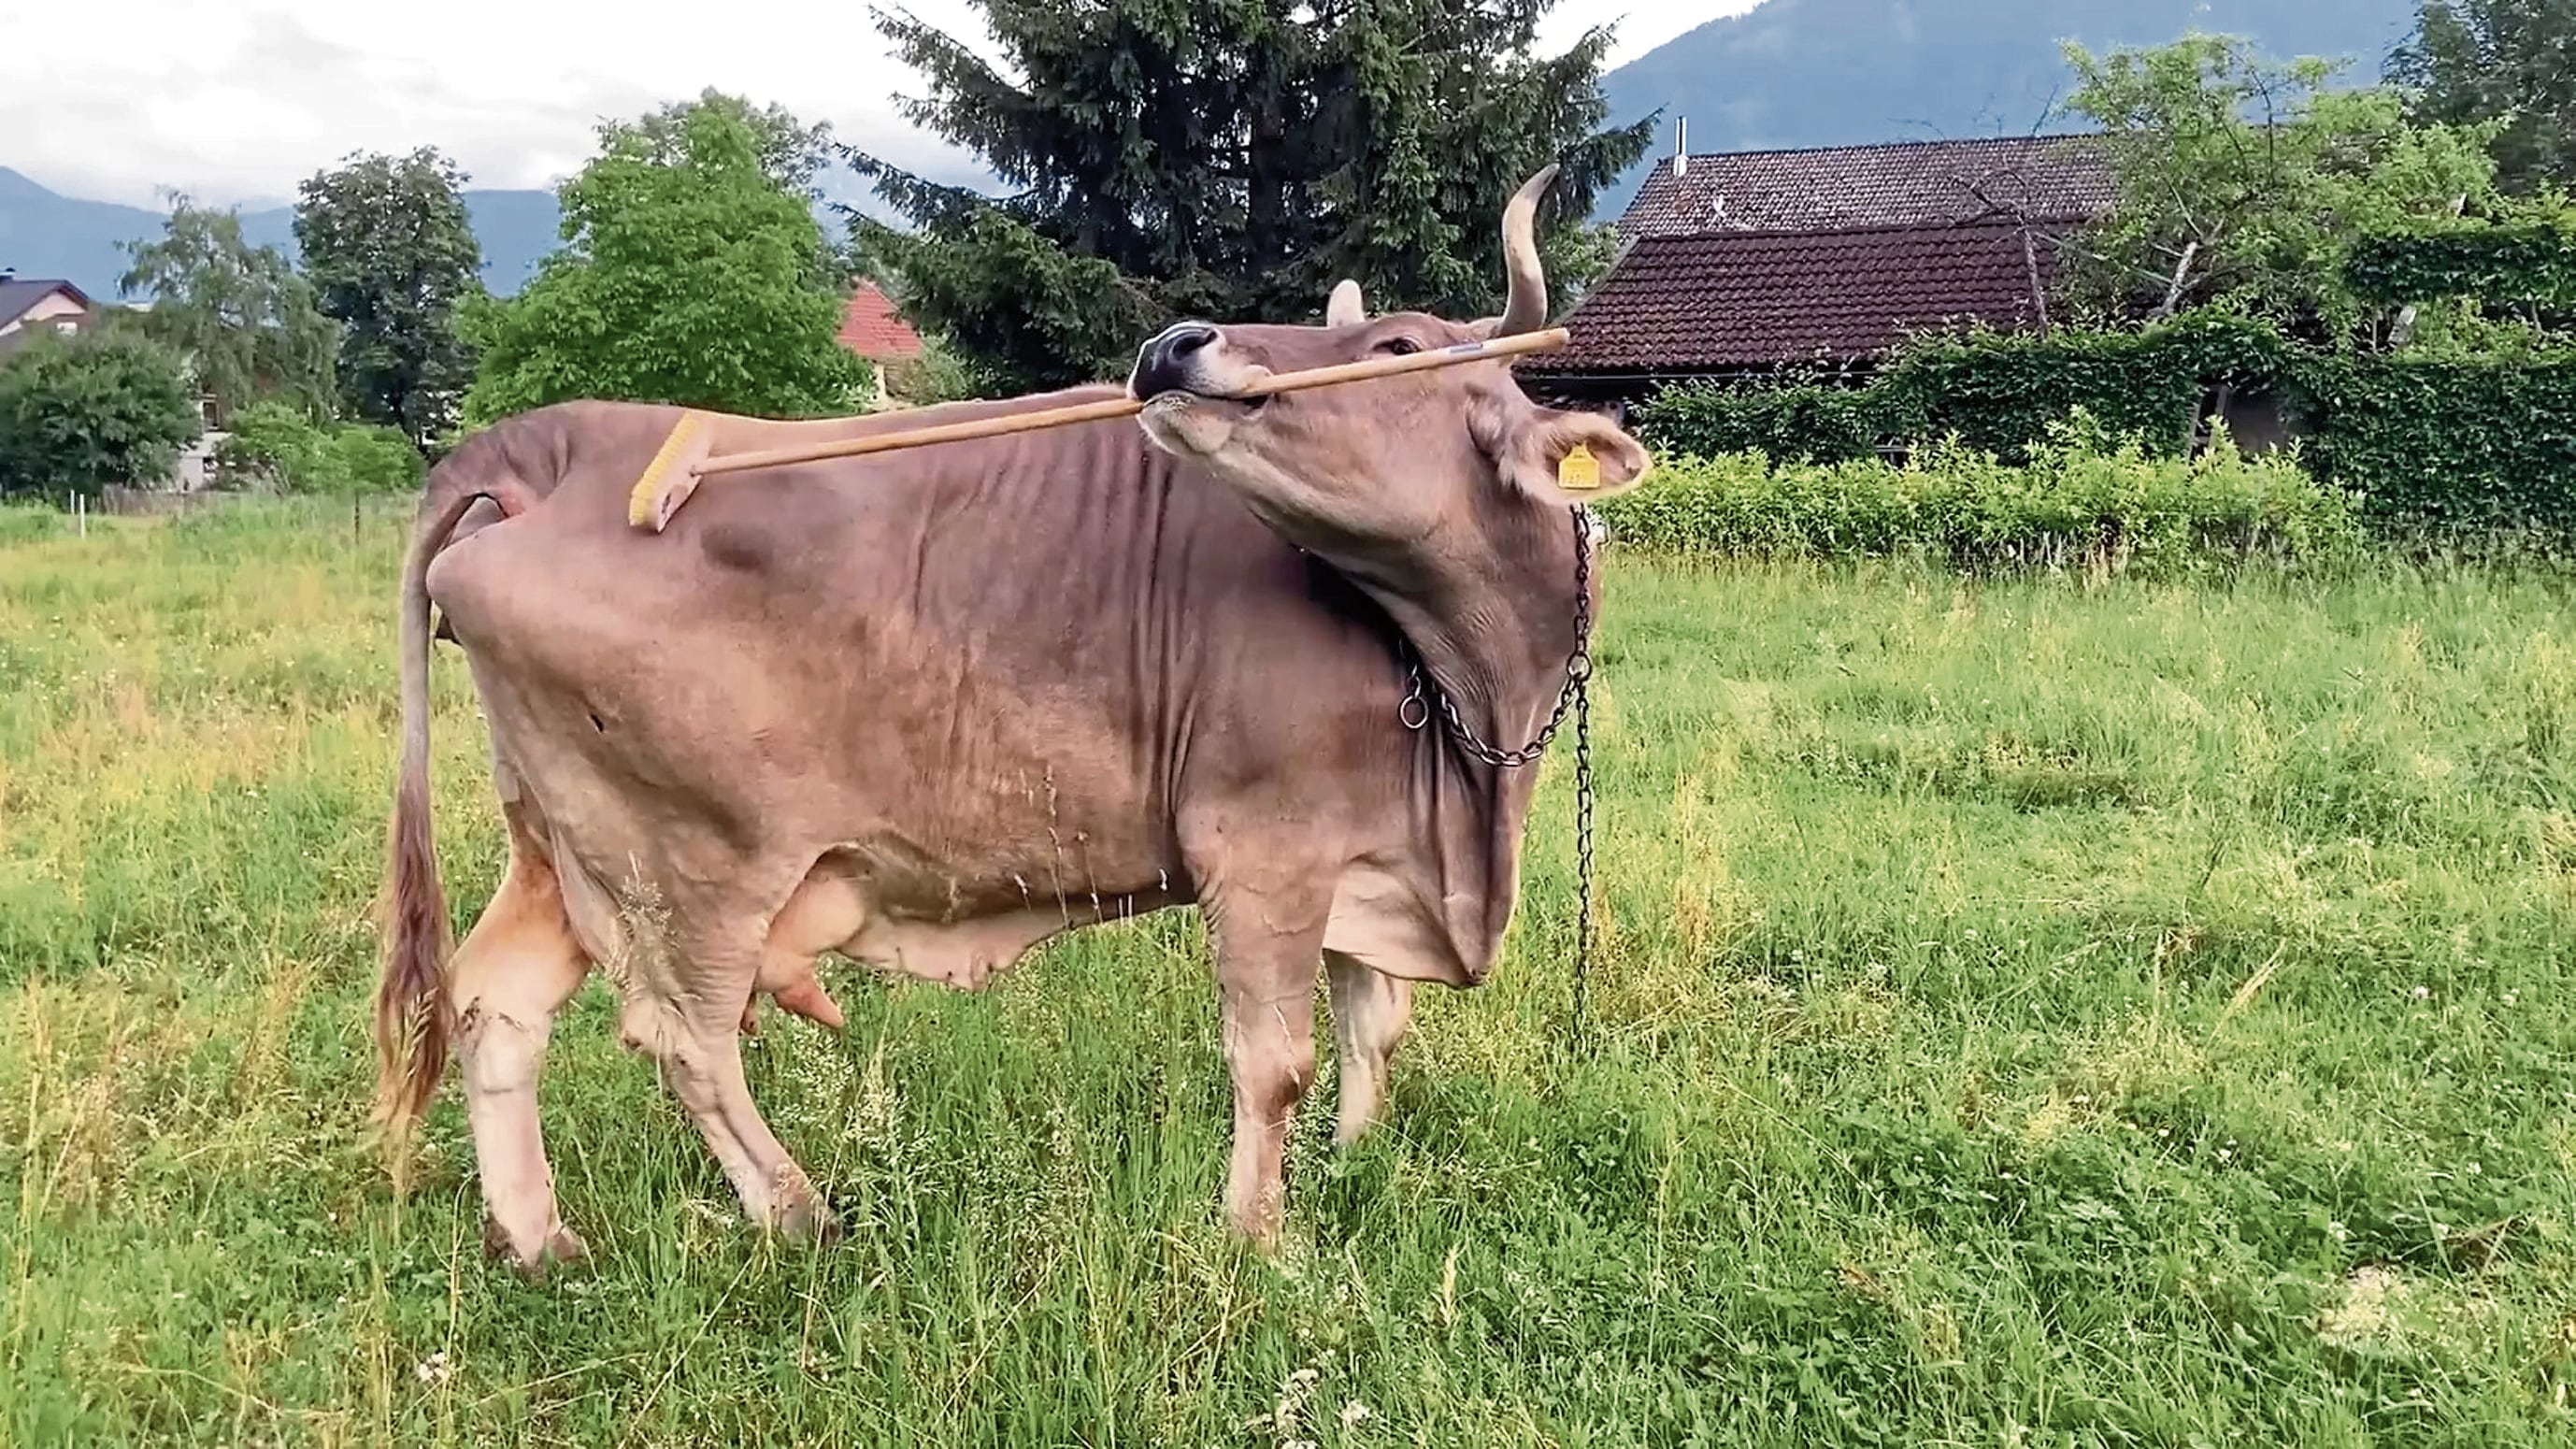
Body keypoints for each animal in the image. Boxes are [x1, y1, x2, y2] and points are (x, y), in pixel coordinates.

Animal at [370, 167, 1654, 1276]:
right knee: (682, 1035)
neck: (1470, 714)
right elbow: (1274, 1060)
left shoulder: (1366, 854)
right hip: (692, 862)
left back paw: (541, 1237)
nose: (1171, 344)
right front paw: (1260, 1239)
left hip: (563, 842)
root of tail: (564, 441)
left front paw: (1355, 1162)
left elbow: (1370, 1026)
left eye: (1398, 347)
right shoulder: (1264, 850)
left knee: (495, 1000)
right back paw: (800, 1213)